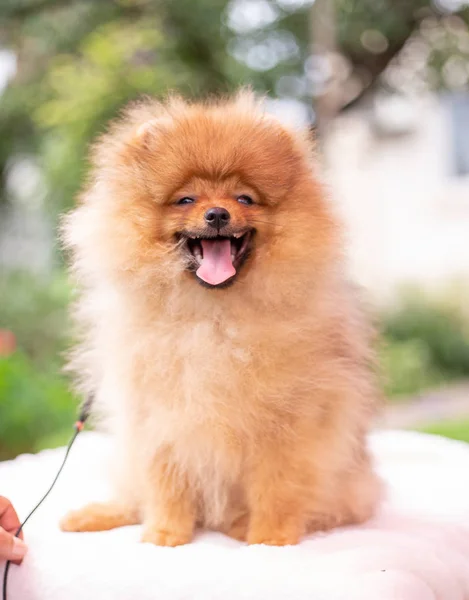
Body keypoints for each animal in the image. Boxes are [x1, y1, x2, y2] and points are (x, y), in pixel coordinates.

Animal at [59, 91, 380, 548]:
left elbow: (278, 486)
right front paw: (165, 533)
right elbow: (165, 480)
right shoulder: (158, 416)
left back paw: (240, 525)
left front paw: (271, 538)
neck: (213, 317)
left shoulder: (289, 424)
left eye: (244, 199)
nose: (216, 214)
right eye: (186, 200)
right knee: (133, 493)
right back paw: (96, 514)